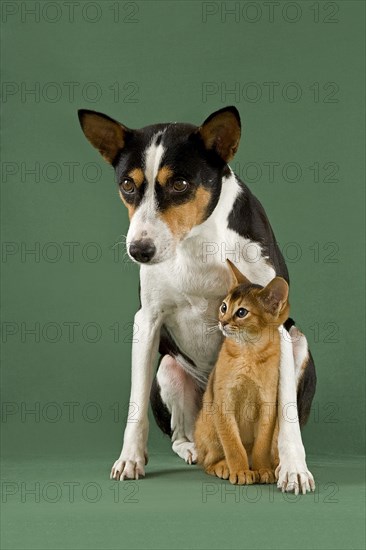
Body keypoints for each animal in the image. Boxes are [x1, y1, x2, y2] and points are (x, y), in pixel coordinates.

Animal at [194, 260, 288, 486]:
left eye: (242, 312)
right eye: (224, 307)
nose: (223, 322)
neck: (249, 353)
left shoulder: (267, 404)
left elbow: (262, 444)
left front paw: (263, 469)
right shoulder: (223, 402)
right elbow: (233, 445)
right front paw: (240, 471)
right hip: (208, 425)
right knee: (207, 461)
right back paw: (223, 467)